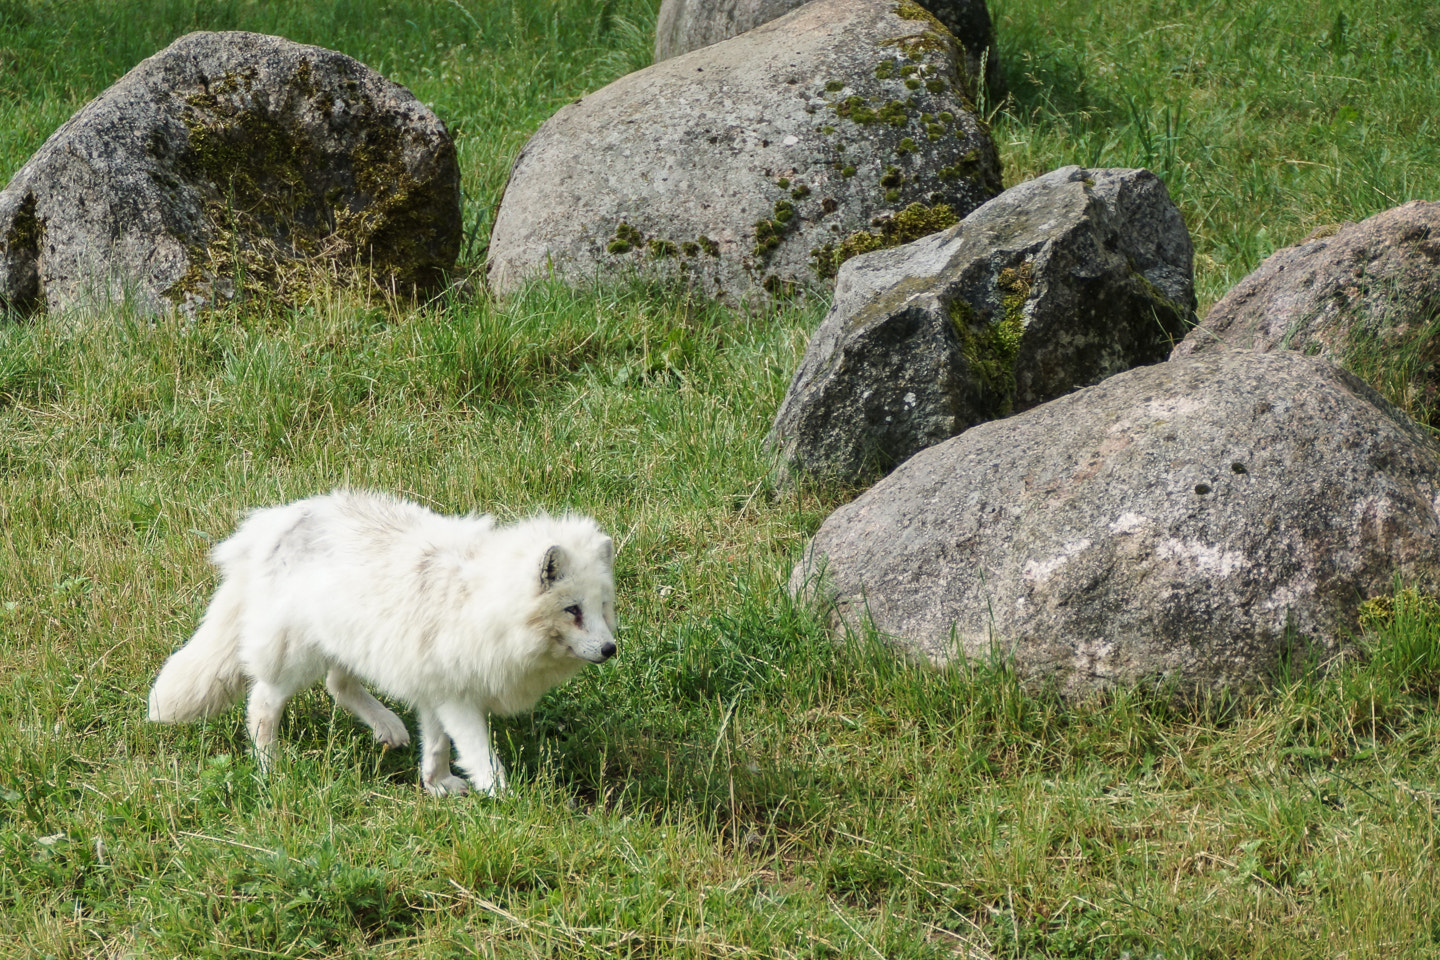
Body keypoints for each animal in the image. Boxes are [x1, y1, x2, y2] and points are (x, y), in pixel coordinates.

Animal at [149, 489, 616, 794]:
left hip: (348, 644)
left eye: (603, 608)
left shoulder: (433, 687)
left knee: (338, 687)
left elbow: (437, 746)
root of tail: (273, 522)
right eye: (572, 610)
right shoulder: (457, 696)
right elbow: (479, 755)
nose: (611, 650)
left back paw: (387, 728)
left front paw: (437, 786)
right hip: (295, 659)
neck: (481, 601)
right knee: (262, 704)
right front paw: (506, 800)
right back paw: (270, 768)